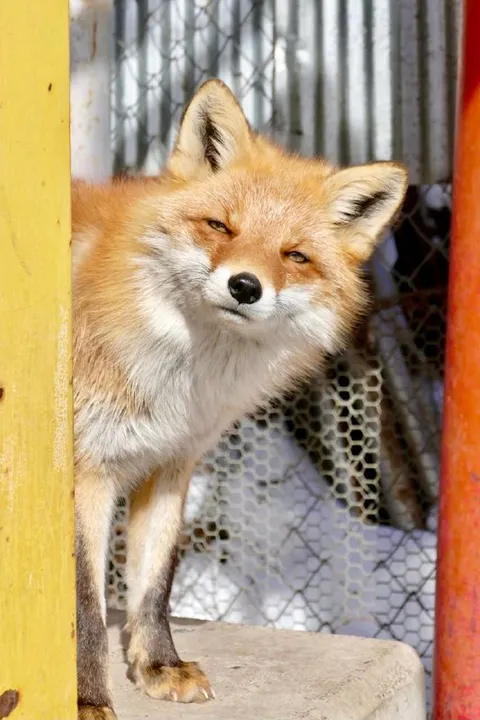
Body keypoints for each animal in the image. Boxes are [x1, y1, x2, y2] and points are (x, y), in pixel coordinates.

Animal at [72, 78, 408, 719]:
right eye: (220, 226)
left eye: (294, 255)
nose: (245, 286)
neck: (181, 379)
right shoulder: (84, 473)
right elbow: (86, 608)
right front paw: (84, 698)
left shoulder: (171, 464)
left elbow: (153, 586)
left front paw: (158, 667)